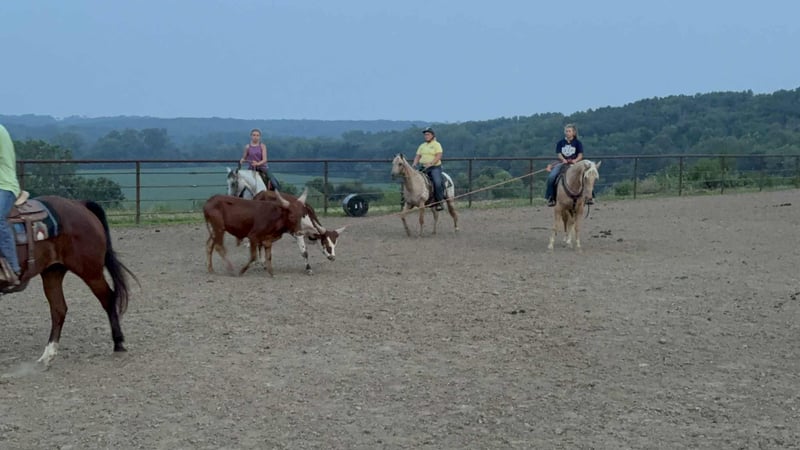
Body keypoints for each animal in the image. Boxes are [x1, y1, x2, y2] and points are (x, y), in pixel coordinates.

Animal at [2, 195, 135, 366]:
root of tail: (79, 204)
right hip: (53, 272)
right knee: (59, 309)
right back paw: (48, 355)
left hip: (90, 272)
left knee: (108, 298)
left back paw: (119, 344)